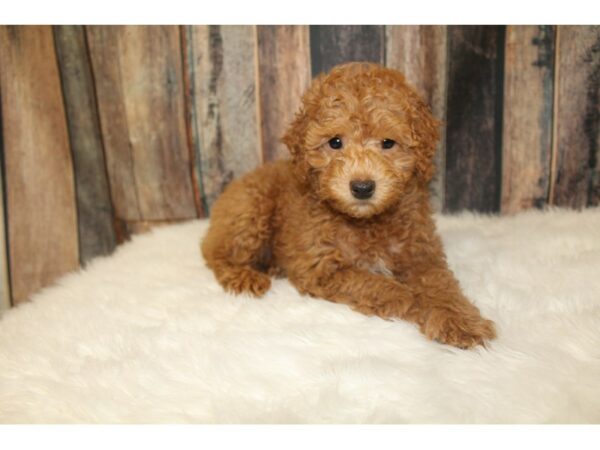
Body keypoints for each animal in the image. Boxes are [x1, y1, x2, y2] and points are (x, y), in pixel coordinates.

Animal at [203, 60, 496, 348]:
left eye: (388, 143)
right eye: (335, 142)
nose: (362, 187)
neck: (367, 222)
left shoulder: (422, 253)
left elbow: (441, 285)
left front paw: (459, 320)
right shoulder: (322, 268)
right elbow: (377, 285)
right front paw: (413, 301)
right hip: (250, 210)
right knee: (216, 253)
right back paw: (245, 276)